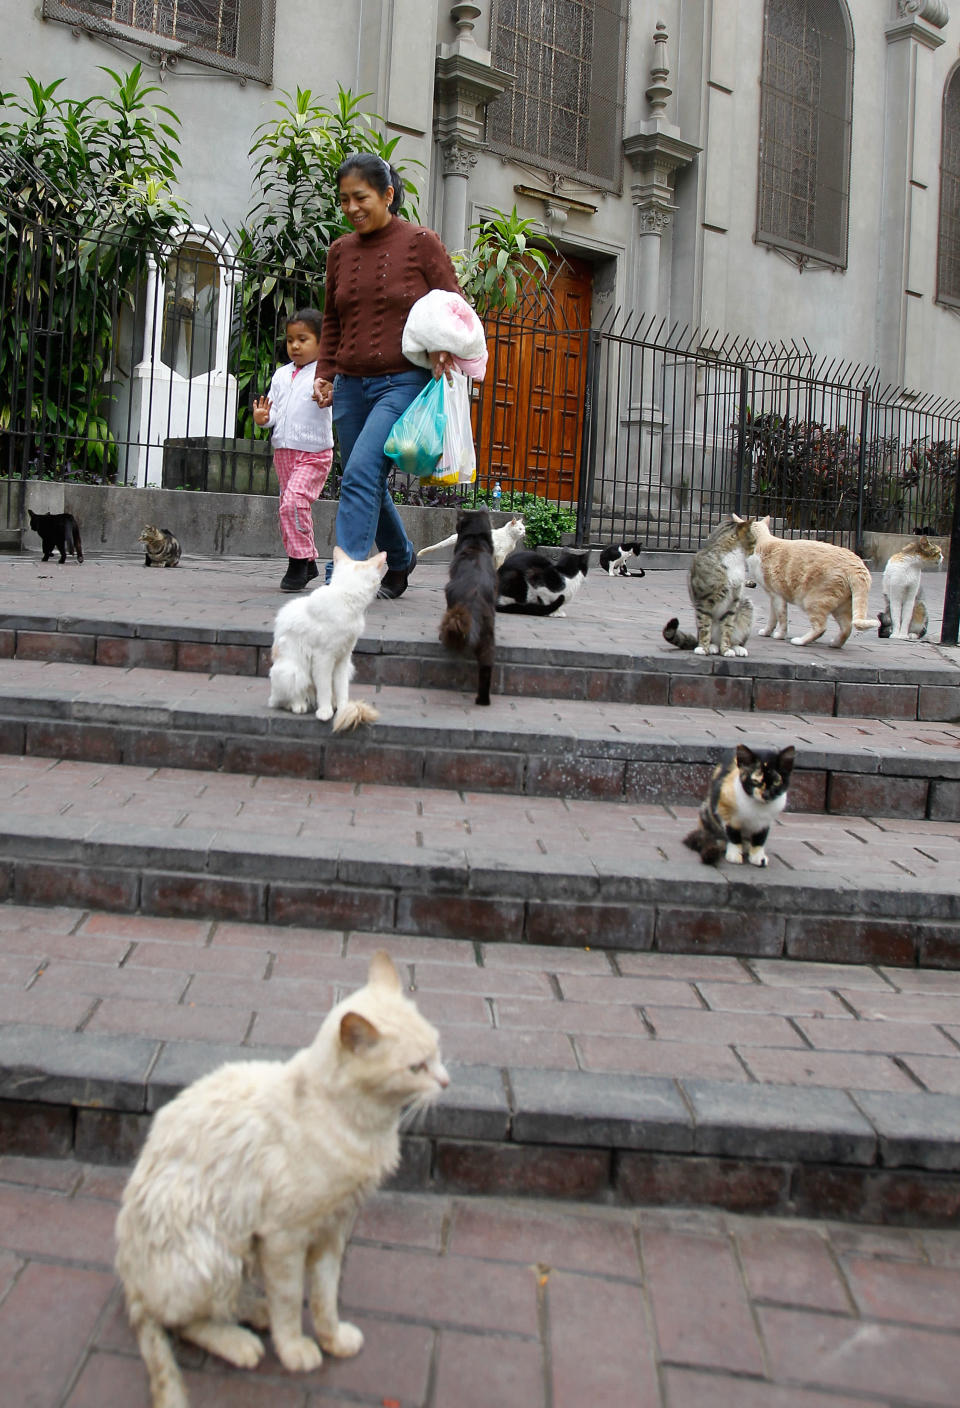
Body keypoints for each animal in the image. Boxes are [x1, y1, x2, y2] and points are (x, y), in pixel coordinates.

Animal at [114, 946, 447, 1408]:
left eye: (438, 1051)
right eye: (416, 1068)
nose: (446, 1082)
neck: (362, 1124)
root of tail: (130, 1280)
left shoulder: (333, 1229)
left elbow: (324, 1297)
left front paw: (332, 1339)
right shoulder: (283, 1238)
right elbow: (290, 1303)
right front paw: (294, 1351)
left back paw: (254, 1311)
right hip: (217, 1252)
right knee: (179, 1319)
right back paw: (241, 1341)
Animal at [266, 543, 385, 732]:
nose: (381, 587)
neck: (345, 598)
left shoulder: (343, 658)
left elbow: (341, 688)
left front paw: (343, 709)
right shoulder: (323, 658)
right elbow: (324, 688)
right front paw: (325, 711)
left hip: (346, 667)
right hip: (292, 672)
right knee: (286, 698)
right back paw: (299, 705)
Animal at [658, 515, 754, 656]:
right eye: (754, 540)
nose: (755, 550)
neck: (733, 560)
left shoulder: (733, 601)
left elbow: (727, 628)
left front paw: (726, 650)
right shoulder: (704, 600)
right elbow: (705, 626)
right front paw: (703, 648)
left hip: (746, 608)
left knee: (735, 637)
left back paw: (736, 648)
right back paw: (712, 646)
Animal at [737, 518, 872, 647]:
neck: (762, 543)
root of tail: (857, 565)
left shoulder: (777, 595)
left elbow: (781, 618)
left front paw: (780, 635)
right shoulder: (772, 596)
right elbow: (772, 618)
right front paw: (767, 632)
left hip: (813, 601)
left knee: (821, 628)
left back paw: (800, 641)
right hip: (841, 607)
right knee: (847, 628)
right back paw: (835, 644)